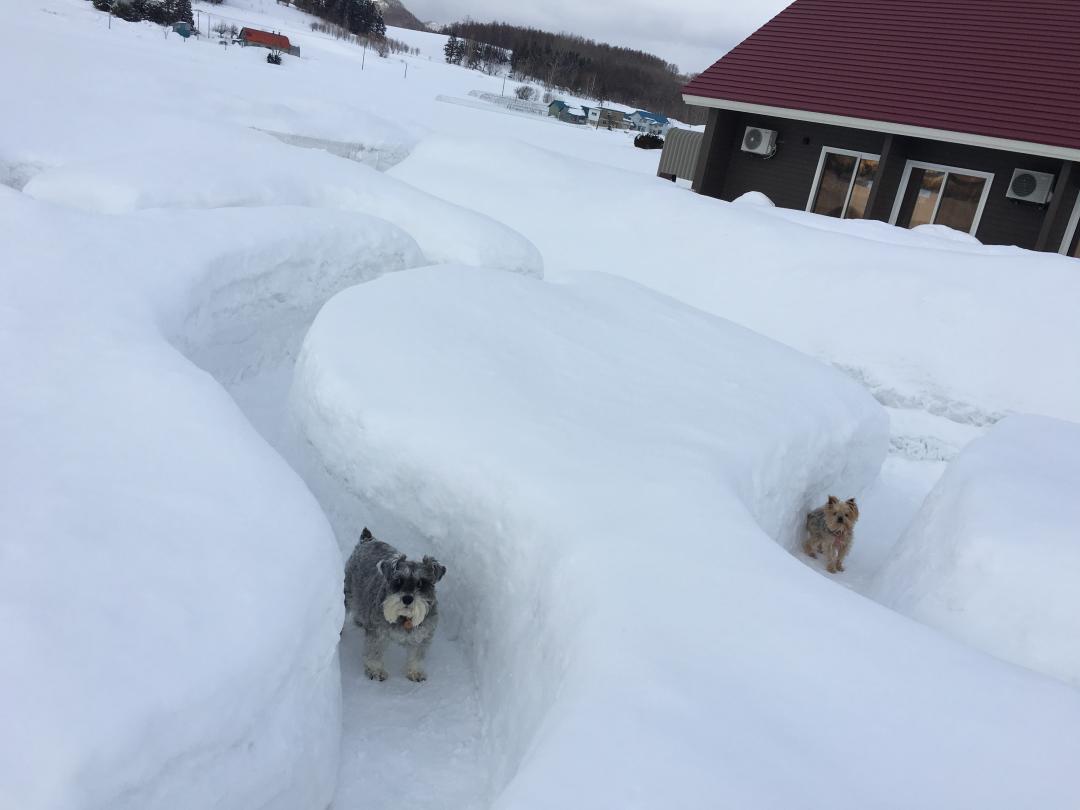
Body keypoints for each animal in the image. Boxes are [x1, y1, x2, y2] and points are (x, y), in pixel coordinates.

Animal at [345, 529, 447, 682]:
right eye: (398, 581)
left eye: (421, 583)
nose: (407, 599)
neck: (404, 618)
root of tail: (368, 540)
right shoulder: (377, 634)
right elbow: (374, 652)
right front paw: (376, 671)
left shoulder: (422, 635)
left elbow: (417, 655)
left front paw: (415, 672)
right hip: (348, 593)